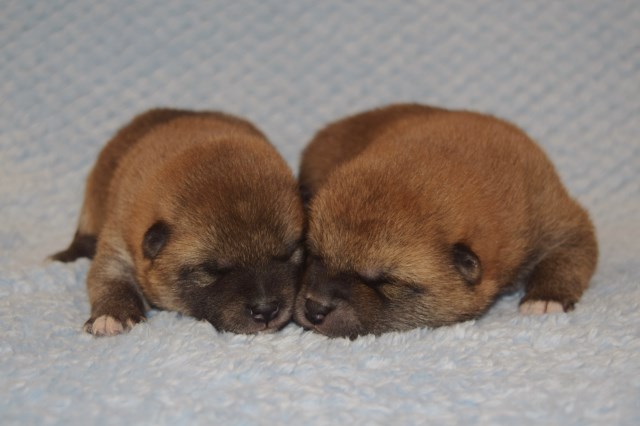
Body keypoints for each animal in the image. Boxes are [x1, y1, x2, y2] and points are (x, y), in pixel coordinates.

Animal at [52, 109, 304, 336]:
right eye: (211, 270)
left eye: (289, 254)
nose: (266, 310)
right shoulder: (118, 241)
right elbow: (110, 278)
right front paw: (112, 315)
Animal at [296, 104, 600, 340]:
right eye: (315, 254)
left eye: (385, 281)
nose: (314, 309)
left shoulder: (553, 215)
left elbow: (570, 252)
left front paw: (546, 298)